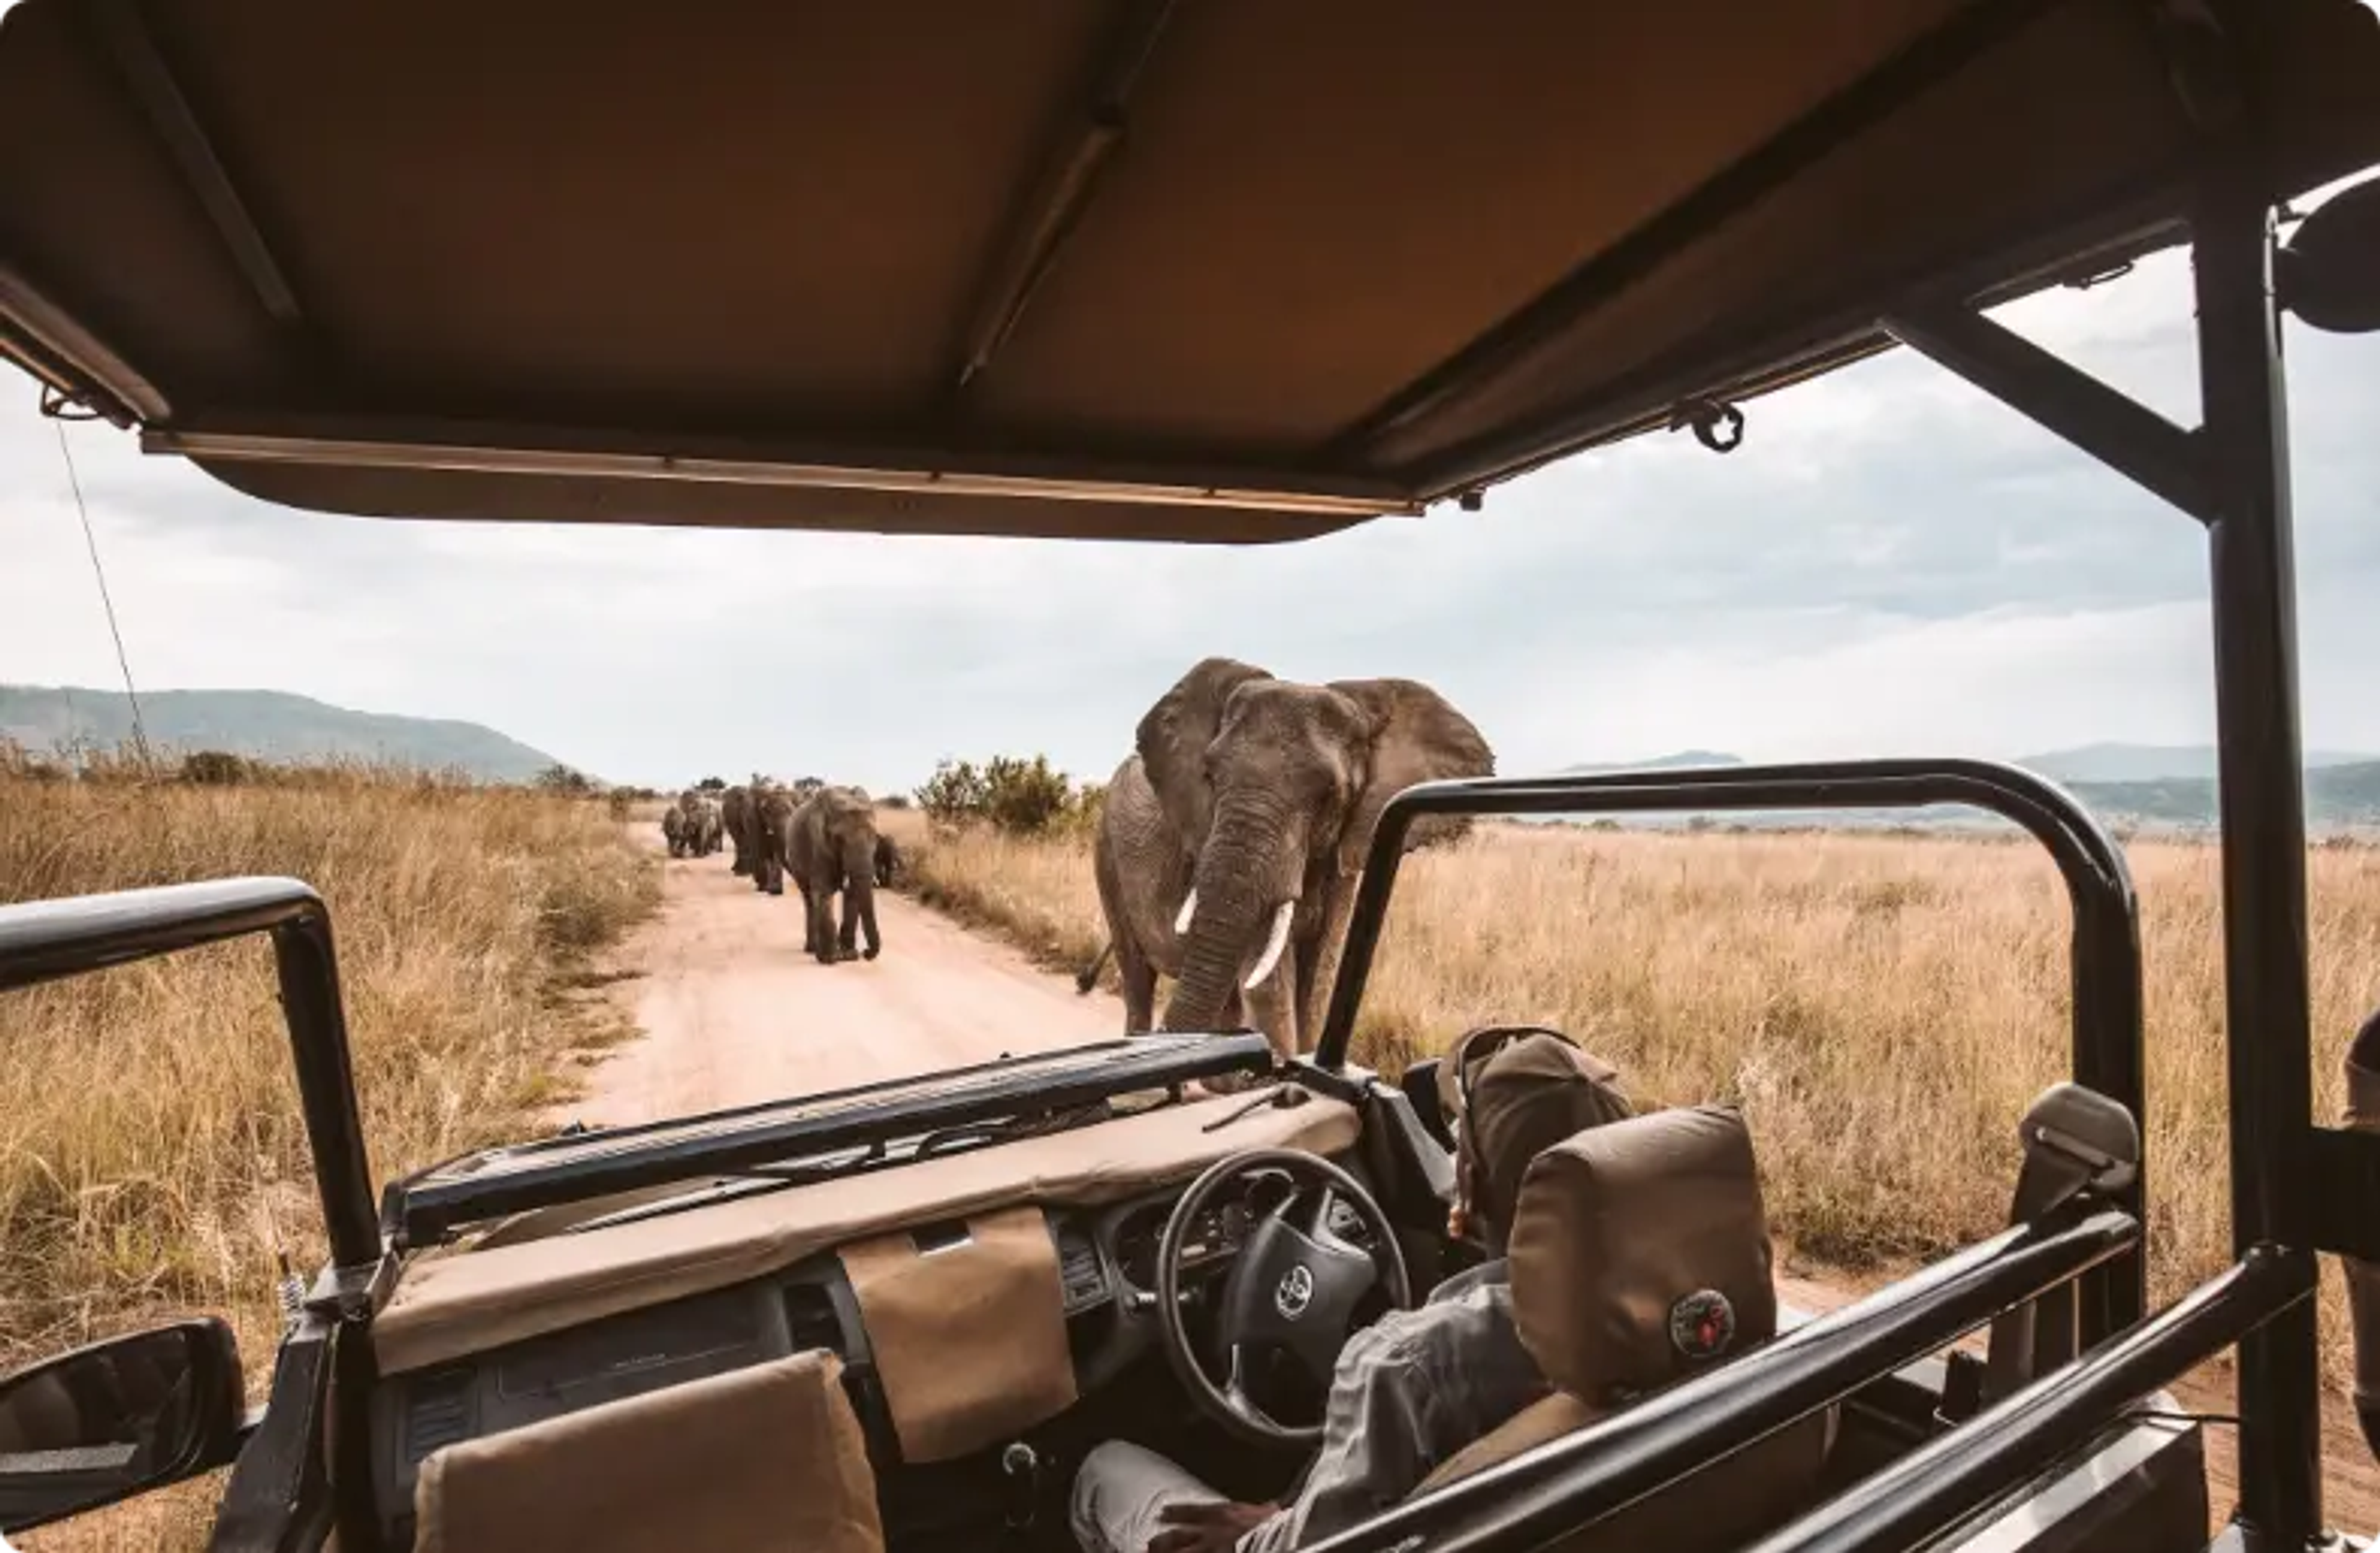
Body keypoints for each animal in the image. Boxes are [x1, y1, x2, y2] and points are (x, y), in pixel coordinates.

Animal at [789, 784, 884, 964]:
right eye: (839, 840)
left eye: (875, 838)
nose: (866, 953)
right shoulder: (819, 847)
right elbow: (823, 893)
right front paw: (830, 960)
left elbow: (852, 895)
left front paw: (849, 957)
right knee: (810, 899)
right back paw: (813, 949)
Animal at [1089, 656, 1493, 1062]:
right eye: (1210, 775)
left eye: (1329, 793)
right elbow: (1269, 986)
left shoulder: (1345, 851)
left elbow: (1319, 980)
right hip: (1107, 854)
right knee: (1138, 978)